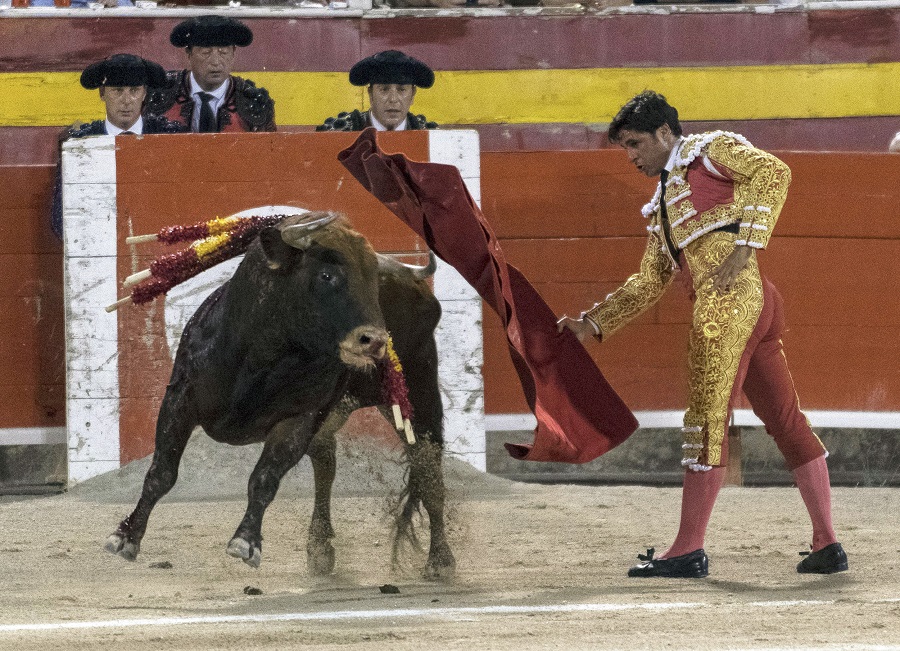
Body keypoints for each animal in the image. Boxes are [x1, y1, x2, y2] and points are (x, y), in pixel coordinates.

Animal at [105, 213, 458, 580]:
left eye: (375, 280)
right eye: (327, 274)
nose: (374, 341)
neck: (264, 355)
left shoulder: (299, 418)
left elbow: (264, 478)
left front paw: (246, 542)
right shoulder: (180, 398)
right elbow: (161, 473)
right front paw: (126, 536)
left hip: (419, 395)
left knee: (428, 470)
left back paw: (439, 560)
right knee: (326, 463)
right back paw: (320, 547)